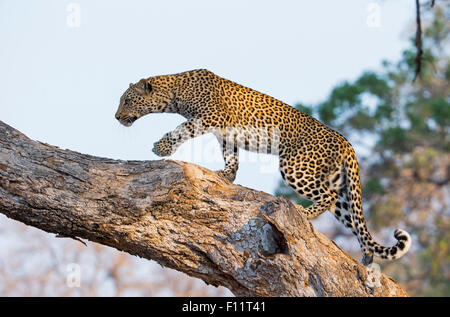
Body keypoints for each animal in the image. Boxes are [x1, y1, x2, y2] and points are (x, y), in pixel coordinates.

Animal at [114, 69, 410, 264]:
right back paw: (367, 256)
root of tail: (347, 143)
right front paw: (226, 175)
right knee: (354, 221)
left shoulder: (210, 116)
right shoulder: (226, 132)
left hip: (294, 167)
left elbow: (181, 130)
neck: (175, 91)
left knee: (327, 197)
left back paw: (303, 212)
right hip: (339, 188)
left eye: (127, 100)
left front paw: (163, 147)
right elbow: (231, 158)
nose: (116, 117)